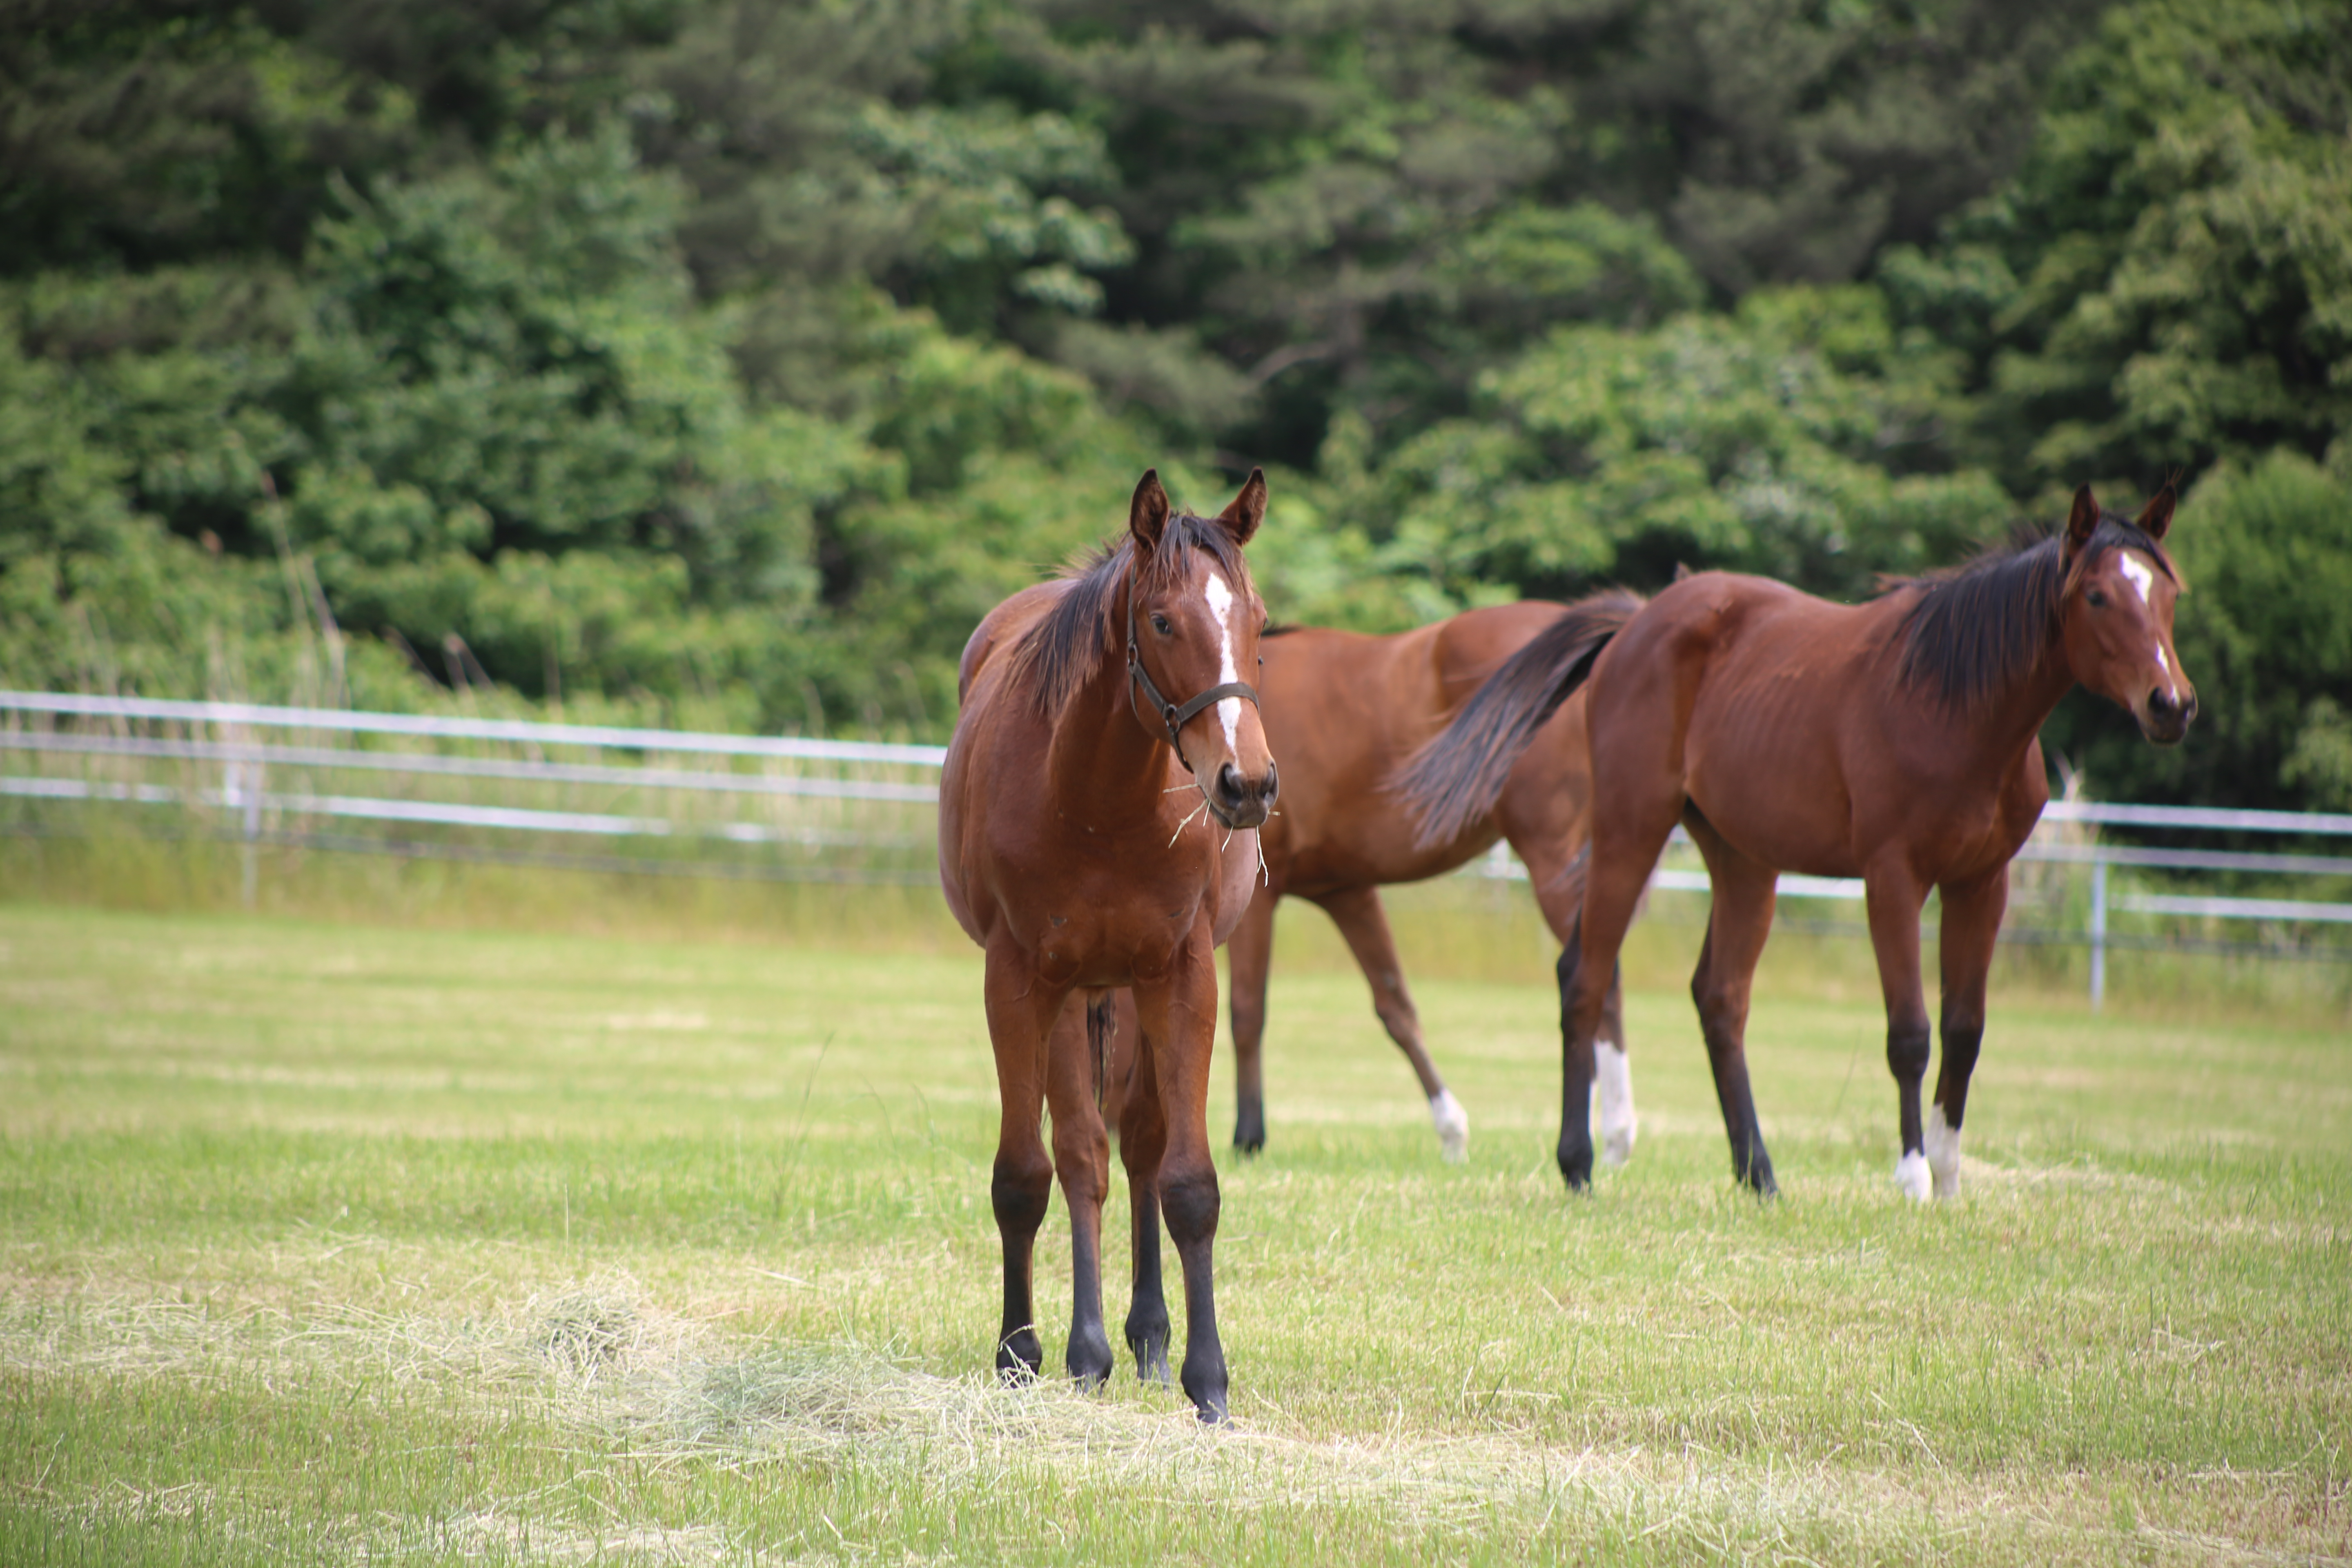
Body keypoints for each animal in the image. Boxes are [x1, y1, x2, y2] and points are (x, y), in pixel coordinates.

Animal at [936, 463, 1279, 1420]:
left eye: (1257, 621)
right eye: (1163, 621)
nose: (1247, 783)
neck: (1095, 799)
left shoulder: (1183, 976)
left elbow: (1187, 1181)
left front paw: (1208, 1381)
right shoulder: (1019, 979)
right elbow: (1028, 1175)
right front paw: (1022, 1353)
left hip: (1124, 988)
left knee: (1137, 1147)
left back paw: (1148, 1339)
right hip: (1077, 991)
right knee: (1085, 1154)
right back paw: (1089, 1348)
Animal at [1392, 491, 2183, 1203]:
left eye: (2170, 593)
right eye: (2096, 595)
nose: (2171, 704)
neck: (1956, 703)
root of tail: (1636, 622)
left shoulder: (1983, 883)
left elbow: (1965, 1031)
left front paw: (1952, 1180)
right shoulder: (1892, 879)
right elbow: (1910, 1032)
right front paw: (1914, 1178)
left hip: (1744, 861)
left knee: (1720, 999)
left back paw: (1760, 1176)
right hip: (1630, 832)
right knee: (1585, 978)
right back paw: (1579, 1165)